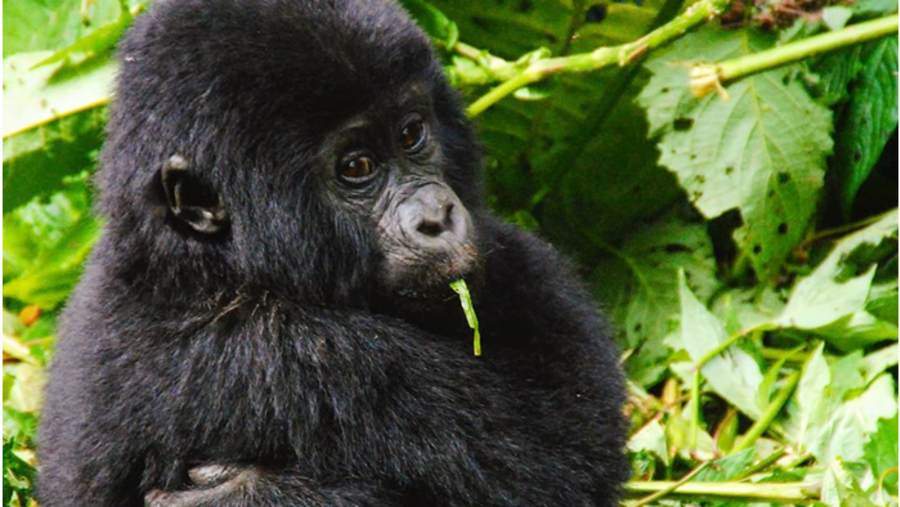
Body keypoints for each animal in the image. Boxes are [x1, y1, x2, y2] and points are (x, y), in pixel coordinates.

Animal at [36, 0, 629, 505]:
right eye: (357, 167)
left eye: (411, 134)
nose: (437, 217)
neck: (198, 268)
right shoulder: (300, 353)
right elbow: (553, 470)